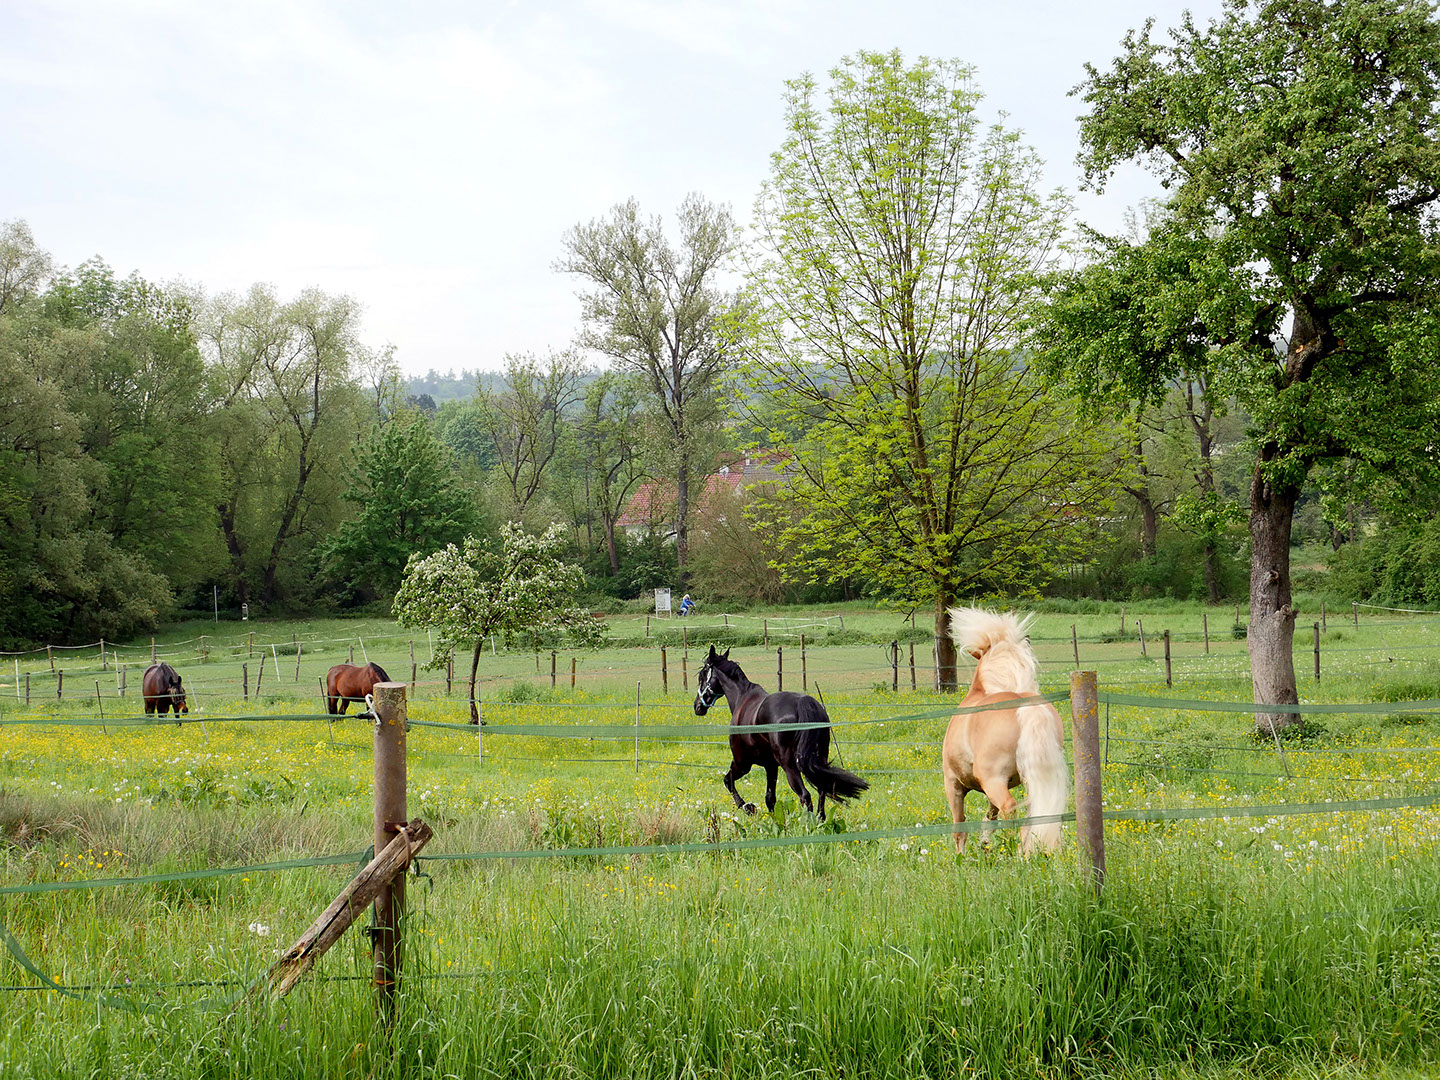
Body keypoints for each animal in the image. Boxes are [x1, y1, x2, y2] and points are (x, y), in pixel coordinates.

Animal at [694, 645, 868, 822]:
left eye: (702, 676)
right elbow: (770, 798)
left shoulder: (742, 763)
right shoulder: (770, 765)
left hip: (788, 764)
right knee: (821, 790)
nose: (697, 707)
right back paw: (821, 820)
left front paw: (748, 807)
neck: (742, 699)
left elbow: (728, 781)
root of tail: (803, 702)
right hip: (818, 758)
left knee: (805, 796)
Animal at [941, 608, 1068, 855]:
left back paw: (1012, 850)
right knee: (1030, 815)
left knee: (1010, 808)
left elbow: (959, 827)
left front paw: (961, 856)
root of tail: (1025, 706)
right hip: (1030, 780)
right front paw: (984, 843)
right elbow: (990, 816)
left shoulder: (953, 784)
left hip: (992, 779)